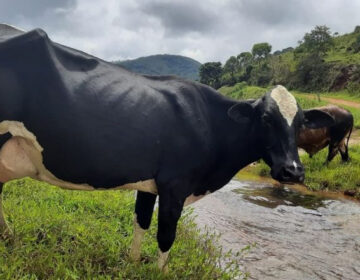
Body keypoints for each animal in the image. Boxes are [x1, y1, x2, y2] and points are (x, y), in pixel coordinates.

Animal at [0, 24, 334, 272]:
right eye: (265, 118)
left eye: (301, 122)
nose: (293, 171)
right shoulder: (175, 183)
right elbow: (166, 235)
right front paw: (158, 272)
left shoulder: (149, 181)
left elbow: (141, 221)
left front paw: (132, 263)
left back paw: (9, 237)